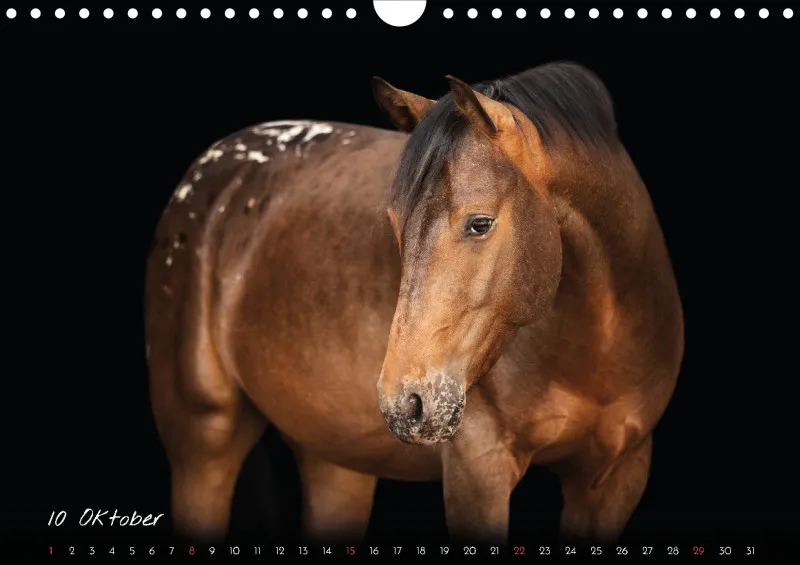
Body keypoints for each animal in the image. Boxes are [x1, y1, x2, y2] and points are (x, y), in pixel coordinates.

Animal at [144, 61, 684, 544]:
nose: (405, 404)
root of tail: (215, 169)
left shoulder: (614, 478)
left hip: (336, 461)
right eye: (394, 223)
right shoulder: (478, 474)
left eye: (480, 223)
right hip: (203, 442)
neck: (597, 350)